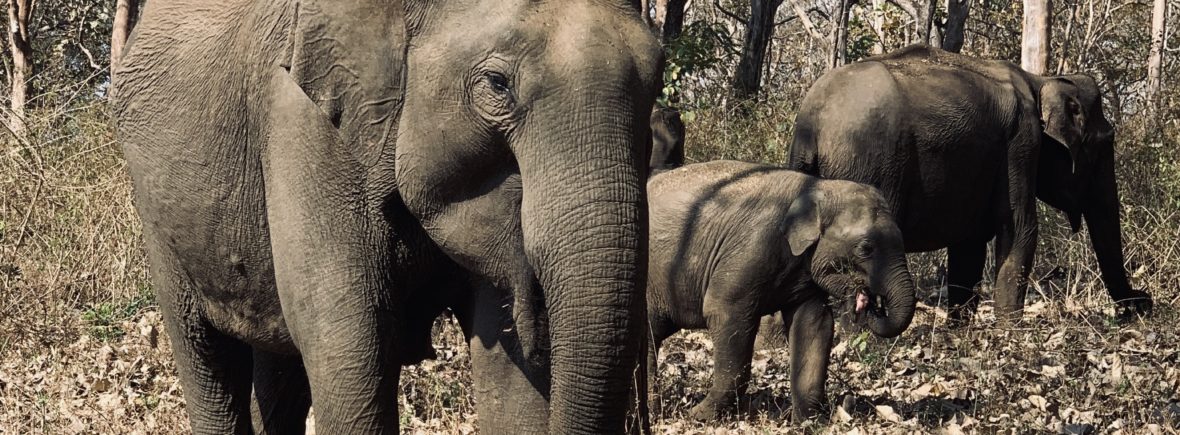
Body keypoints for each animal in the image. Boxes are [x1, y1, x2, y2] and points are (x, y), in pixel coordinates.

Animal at [115, 0, 661, 433]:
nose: (535, 314)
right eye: (497, 84)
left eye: (656, 84)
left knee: (279, 370)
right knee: (208, 358)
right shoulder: (302, 121)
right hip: (157, 217)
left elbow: (510, 381)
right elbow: (350, 342)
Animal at [645, 160, 917, 422]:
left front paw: (808, 422)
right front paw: (698, 416)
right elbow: (723, 310)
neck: (818, 186)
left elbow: (814, 324)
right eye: (865, 248)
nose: (867, 300)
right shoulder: (751, 248)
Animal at [788, 44, 1152, 323]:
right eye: (1105, 142)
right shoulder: (1020, 142)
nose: (1142, 302)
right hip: (868, 159)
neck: (1040, 81)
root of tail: (813, 122)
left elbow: (969, 245)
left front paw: (959, 329)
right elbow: (1020, 227)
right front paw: (1010, 334)